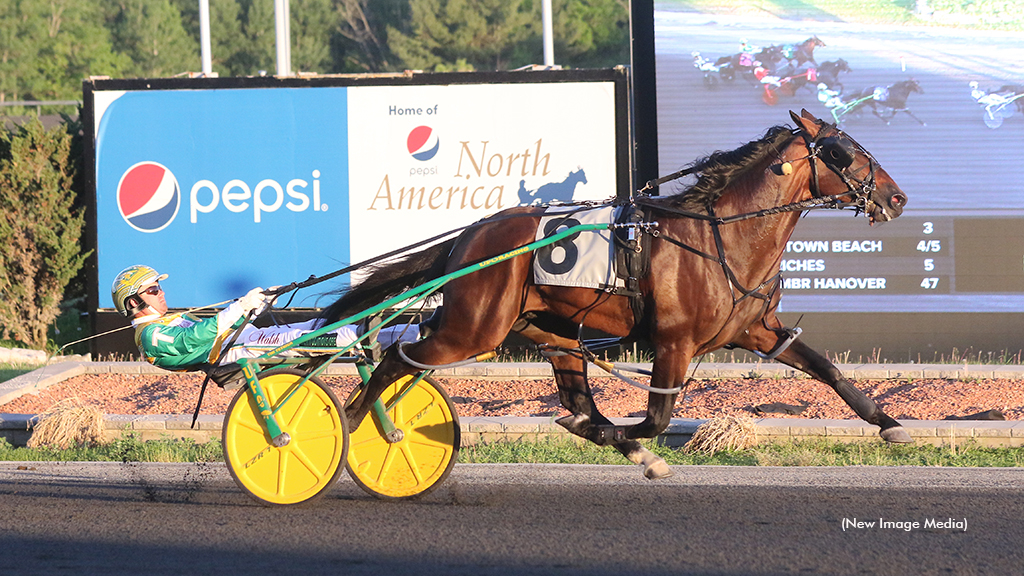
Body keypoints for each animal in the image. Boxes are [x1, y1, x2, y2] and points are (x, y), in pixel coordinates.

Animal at [321, 109, 913, 477]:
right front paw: (625, 438)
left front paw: (890, 425)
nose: (896, 197)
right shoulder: (674, 342)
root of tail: (470, 236)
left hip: (554, 333)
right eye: (841, 151)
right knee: (398, 358)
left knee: (574, 397)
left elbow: (826, 368)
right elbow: (657, 418)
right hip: (473, 329)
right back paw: (350, 422)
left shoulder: (756, 331)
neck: (720, 236)